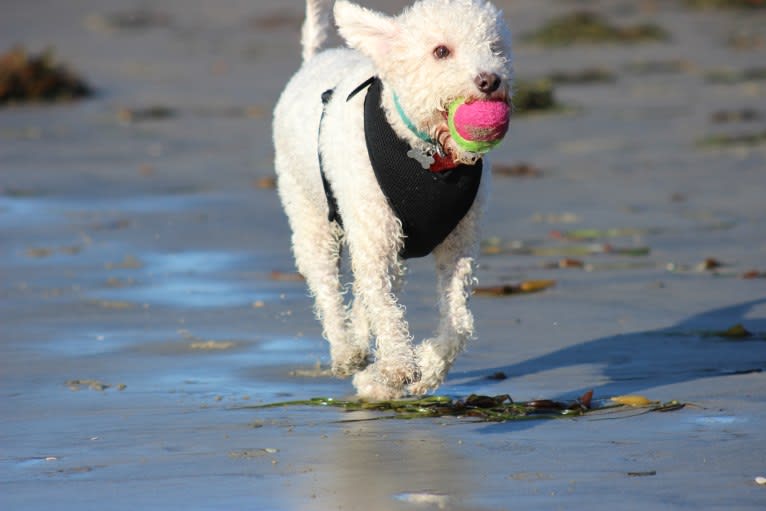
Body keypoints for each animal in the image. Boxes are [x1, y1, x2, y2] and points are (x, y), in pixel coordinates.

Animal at [272, 0, 512, 400]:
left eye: (495, 48)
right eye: (441, 51)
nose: (490, 80)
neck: (428, 157)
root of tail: (316, 58)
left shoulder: (458, 248)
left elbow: (459, 323)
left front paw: (425, 368)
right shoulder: (373, 240)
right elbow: (384, 307)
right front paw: (399, 365)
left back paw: (368, 371)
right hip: (310, 214)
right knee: (327, 285)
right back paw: (347, 351)